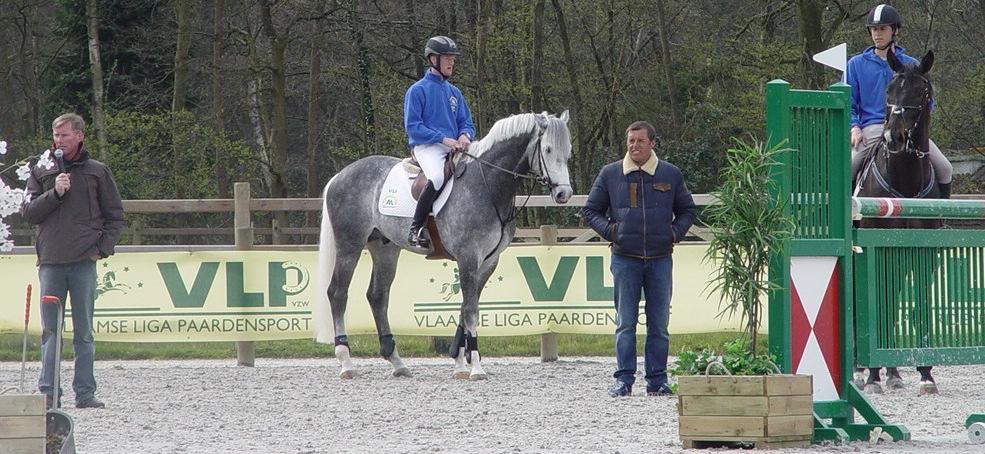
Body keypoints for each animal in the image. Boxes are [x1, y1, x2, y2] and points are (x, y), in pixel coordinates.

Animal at [316, 111, 572, 380]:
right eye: (548, 149)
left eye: (568, 152)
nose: (564, 194)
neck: (487, 185)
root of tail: (340, 175)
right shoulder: (468, 257)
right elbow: (471, 311)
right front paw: (475, 367)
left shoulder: (488, 261)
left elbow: (465, 307)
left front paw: (459, 361)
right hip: (350, 245)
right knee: (337, 293)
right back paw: (346, 362)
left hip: (385, 248)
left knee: (378, 296)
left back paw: (397, 362)